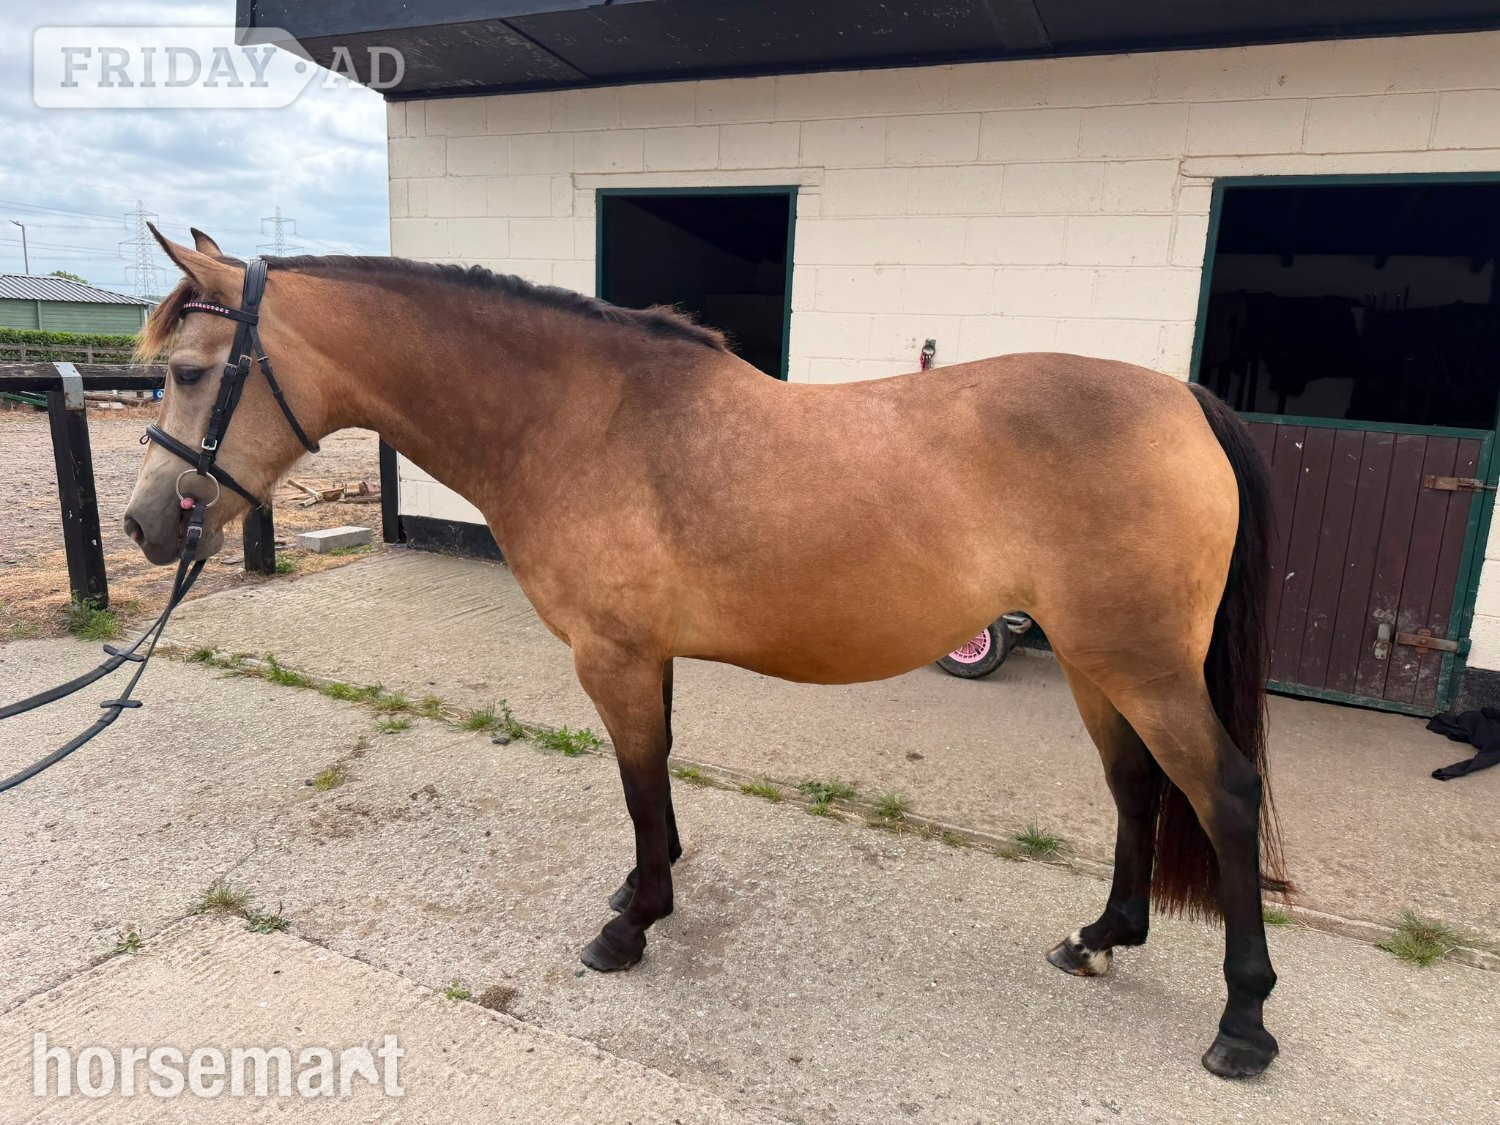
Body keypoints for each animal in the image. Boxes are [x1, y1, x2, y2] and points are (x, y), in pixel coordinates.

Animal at [125, 227, 1288, 1078]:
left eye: (186, 372)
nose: (144, 526)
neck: (581, 421)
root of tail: (1184, 399)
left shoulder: (612, 655)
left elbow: (639, 778)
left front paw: (632, 927)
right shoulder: (650, 654)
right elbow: (662, 772)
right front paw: (645, 887)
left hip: (1141, 666)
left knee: (1222, 792)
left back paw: (1243, 1023)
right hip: (1101, 667)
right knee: (1138, 787)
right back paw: (1101, 936)